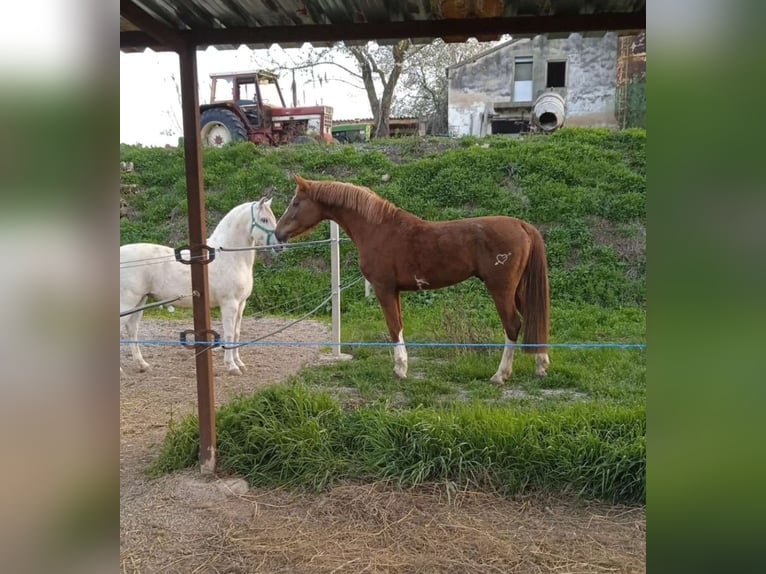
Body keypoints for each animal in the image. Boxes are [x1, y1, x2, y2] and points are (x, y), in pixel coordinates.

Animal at [120, 198, 278, 375]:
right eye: (264, 219)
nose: (279, 245)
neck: (229, 257)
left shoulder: (241, 304)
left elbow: (237, 333)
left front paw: (239, 363)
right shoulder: (229, 304)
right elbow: (229, 333)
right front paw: (232, 366)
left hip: (140, 301)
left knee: (132, 328)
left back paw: (142, 364)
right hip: (128, 302)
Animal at [275, 176, 550, 385]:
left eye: (296, 202)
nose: (278, 233)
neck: (378, 228)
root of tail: (522, 225)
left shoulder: (384, 288)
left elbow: (393, 327)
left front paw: (400, 369)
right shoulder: (395, 291)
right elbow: (399, 325)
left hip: (501, 288)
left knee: (513, 325)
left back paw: (500, 375)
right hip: (519, 289)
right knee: (533, 319)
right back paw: (541, 366)